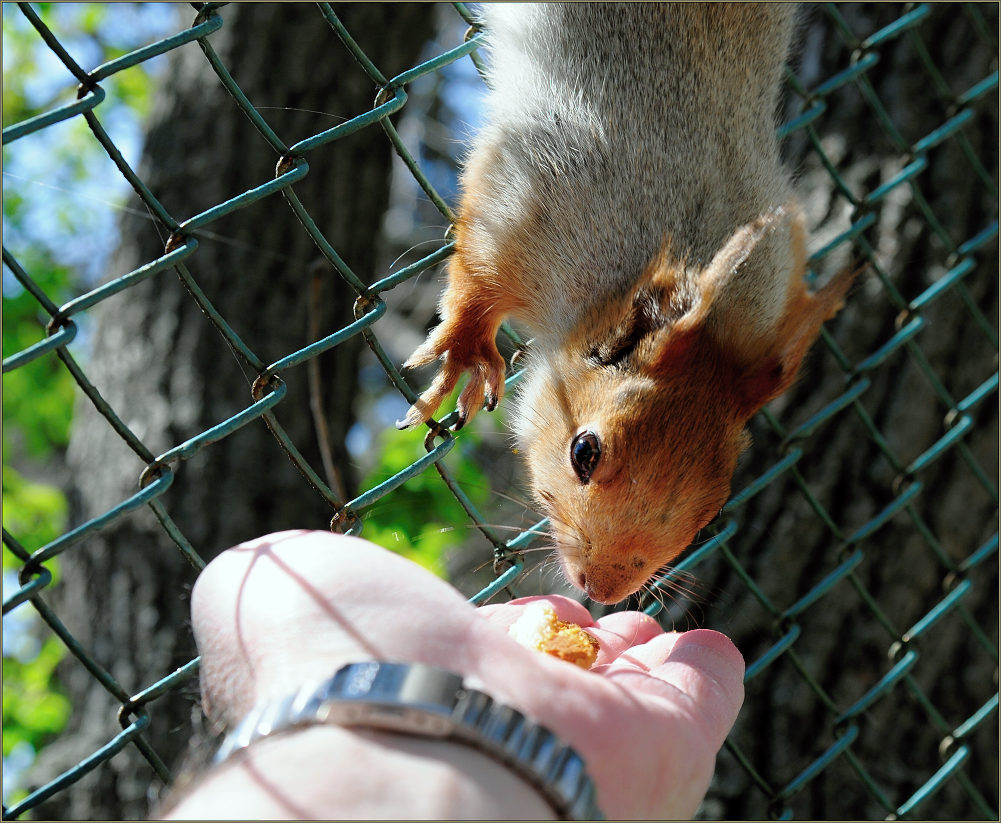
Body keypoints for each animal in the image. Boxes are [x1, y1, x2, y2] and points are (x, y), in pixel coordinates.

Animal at [394, 1, 856, 604]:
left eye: (713, 510)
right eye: (583, 452)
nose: (604, 588)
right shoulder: (528, 193)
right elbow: (480, 277)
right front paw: (467, 352)